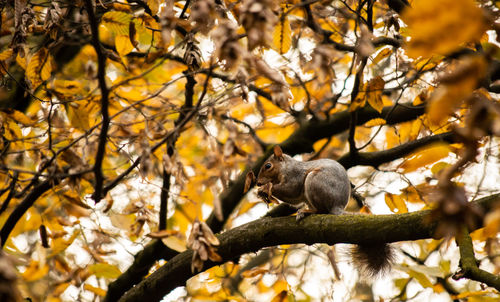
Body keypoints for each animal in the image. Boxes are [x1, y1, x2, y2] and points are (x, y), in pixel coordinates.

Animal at [248, 145, 392, 278]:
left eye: (268, 166)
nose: (258, 183)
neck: (285, 168)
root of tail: (337, 206)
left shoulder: (295, 176)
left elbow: (291, 189)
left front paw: (267, 188)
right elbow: (294, 199)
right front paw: (262, 192)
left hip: (314, 180)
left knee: (321, 210)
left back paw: (306, 212)